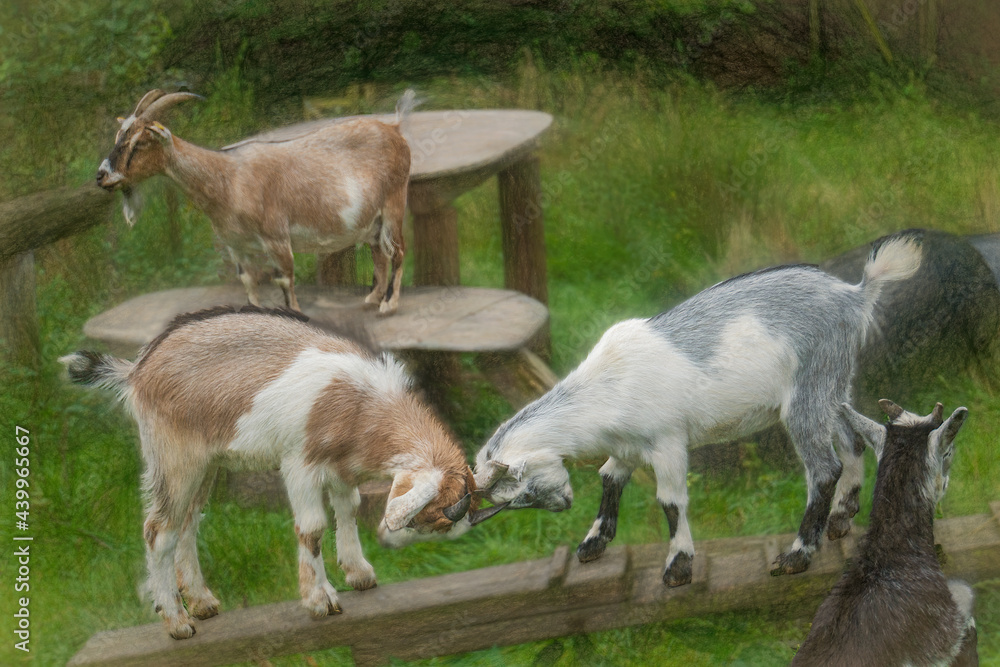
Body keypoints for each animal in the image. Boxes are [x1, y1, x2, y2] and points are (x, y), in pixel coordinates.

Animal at [60, 306, 498, 639]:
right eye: (423, 519)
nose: (387, 542)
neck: (361, 403)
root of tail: (137, 368)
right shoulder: (299, 463)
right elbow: (313, 526)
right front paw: (320, 600)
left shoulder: (342, 469)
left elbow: (349, 510)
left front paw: (359, 574)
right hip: (174, 457)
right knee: (158, 531)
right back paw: (177, 621)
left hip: (207, 464)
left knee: (187, 523)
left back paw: (202, 603)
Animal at [96, 89, 415, 314]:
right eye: (118, 137)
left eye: (140, 142)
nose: (101, 176)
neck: (229, 180)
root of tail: (395, 128)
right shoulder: (237, 246)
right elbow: (249, 283)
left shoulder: (277, 239)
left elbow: (285, 281)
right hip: (371, 219)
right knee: (378, 252)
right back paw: (371, 298)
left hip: (394, 201)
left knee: (397, 250)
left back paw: (389, 304)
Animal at [472, 233, 923, 587]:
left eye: (525, 491)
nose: (564, 505)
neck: (605, 388)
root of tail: (854, 296)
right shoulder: (626, 447)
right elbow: (609, 478)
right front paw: (593, 542)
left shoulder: (667, 442)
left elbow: (670, 500)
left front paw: (678, 566)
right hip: (833, 385)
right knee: (851, 439)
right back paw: (842, 518)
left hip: (808, 390)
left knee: (824, 469)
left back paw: (797, 555)